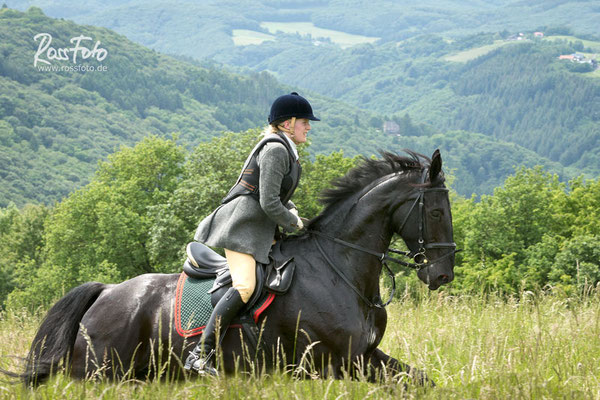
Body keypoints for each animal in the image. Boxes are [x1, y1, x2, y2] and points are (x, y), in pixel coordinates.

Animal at [5, 149, 454, 384]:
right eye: (434, 211)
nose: (441, 275)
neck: (338, 267)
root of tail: (105, 292)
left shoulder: (365, 355)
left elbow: (420, 381)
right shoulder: (333, 364)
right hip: (102, 374)